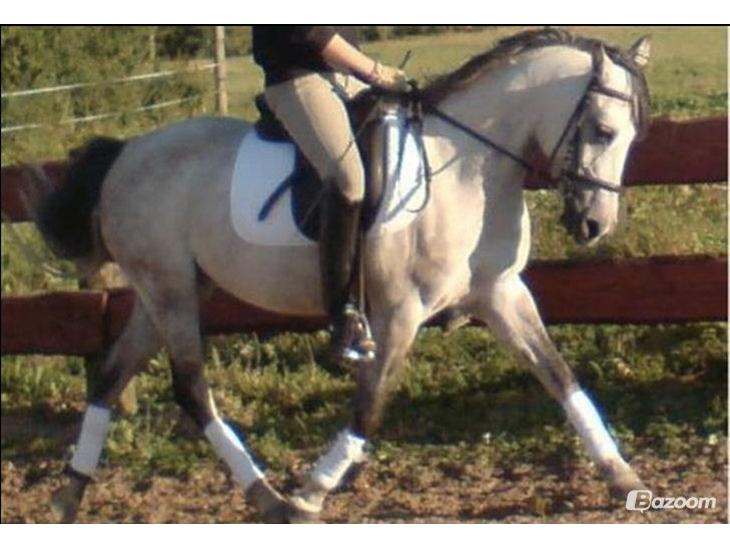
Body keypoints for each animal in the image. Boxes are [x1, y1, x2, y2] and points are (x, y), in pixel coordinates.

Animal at [29, 28, 652, 523]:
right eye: (601, 131)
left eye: (629, 136)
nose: (594, 224)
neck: (469, 166)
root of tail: (127, 153)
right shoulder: (399, 313)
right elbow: (369, 405)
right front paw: (312, 493)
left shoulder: (500, 294)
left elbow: (559, 375)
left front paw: (622, 475)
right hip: (171, 290)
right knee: (190, 388)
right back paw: (268, 498)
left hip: (163, 290)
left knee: (111, 377)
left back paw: (70, 494)